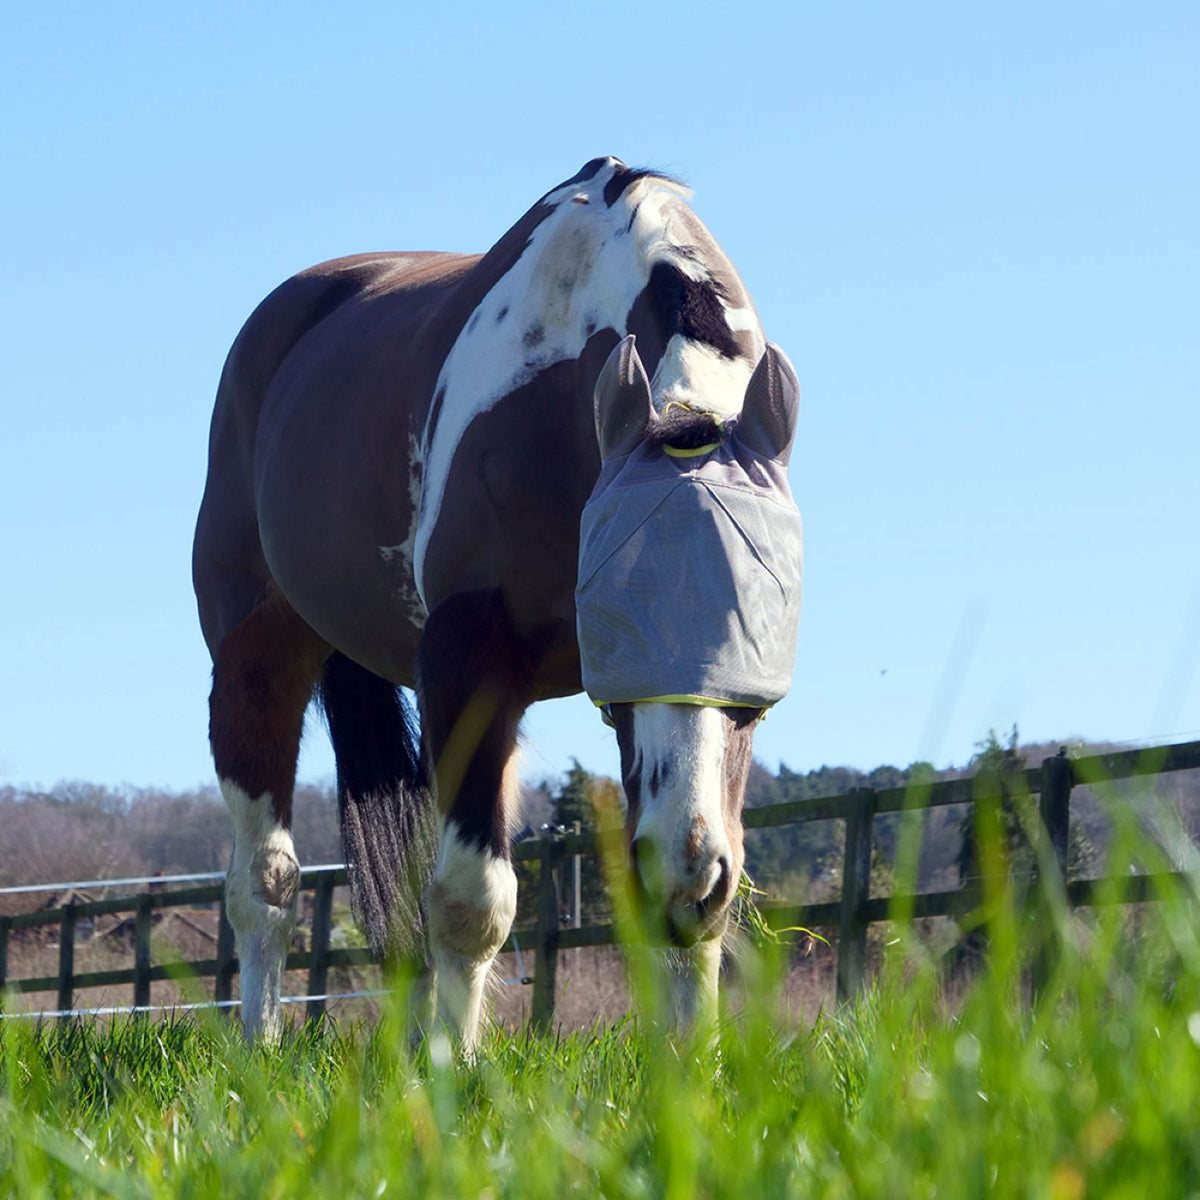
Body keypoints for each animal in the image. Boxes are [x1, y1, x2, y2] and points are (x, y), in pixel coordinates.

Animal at [192, 154, 801, 1046]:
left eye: (753, 650)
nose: (693, 877)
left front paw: (692, 1061)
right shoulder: (472, 665)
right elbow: (471, 901)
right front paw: (454, 1068)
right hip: (257, 657)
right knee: (263, 886)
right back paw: (260, 1049)